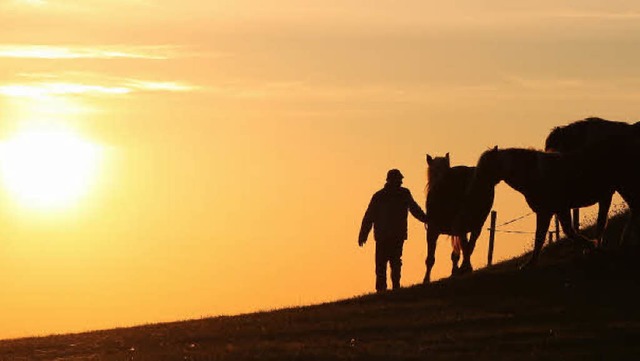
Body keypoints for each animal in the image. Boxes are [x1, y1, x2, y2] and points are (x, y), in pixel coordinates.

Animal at [424, 152, 496, 282]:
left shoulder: (432, 230)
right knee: (470, 246)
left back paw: (465, 268)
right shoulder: (458, 230)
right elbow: (457, 253)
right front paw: (455, 271)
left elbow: (430, 258)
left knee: (466, 246)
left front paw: (426, 279)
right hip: (476, 224)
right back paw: (465, 268)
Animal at [462, 136, 640, 268]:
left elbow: (565, 232)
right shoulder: (547, 211)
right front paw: (530, 263)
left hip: (624, 186)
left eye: (486, 167)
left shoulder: (557, 208)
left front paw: (592, 246)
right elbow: (541, 236)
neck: (535, 173)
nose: (474, 186)